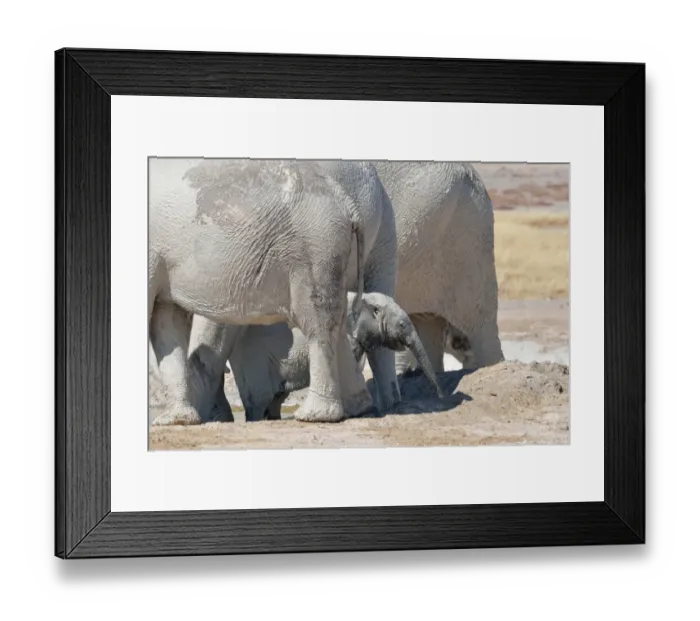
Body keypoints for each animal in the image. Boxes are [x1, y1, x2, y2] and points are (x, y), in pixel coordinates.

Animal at [148, 157, 398, 425]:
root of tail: (348, 204)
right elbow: (166, 320)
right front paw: (175, 420)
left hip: (315, 248)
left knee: (317, 321)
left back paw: (314, 416)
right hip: (331, 249)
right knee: (337, 320)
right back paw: (357, 409)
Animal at [195, 292, 444, 422]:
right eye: (401, 324)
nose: (440, 396)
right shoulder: (346, 335)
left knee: (276, 398)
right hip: (252, 358)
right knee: (259, 399)